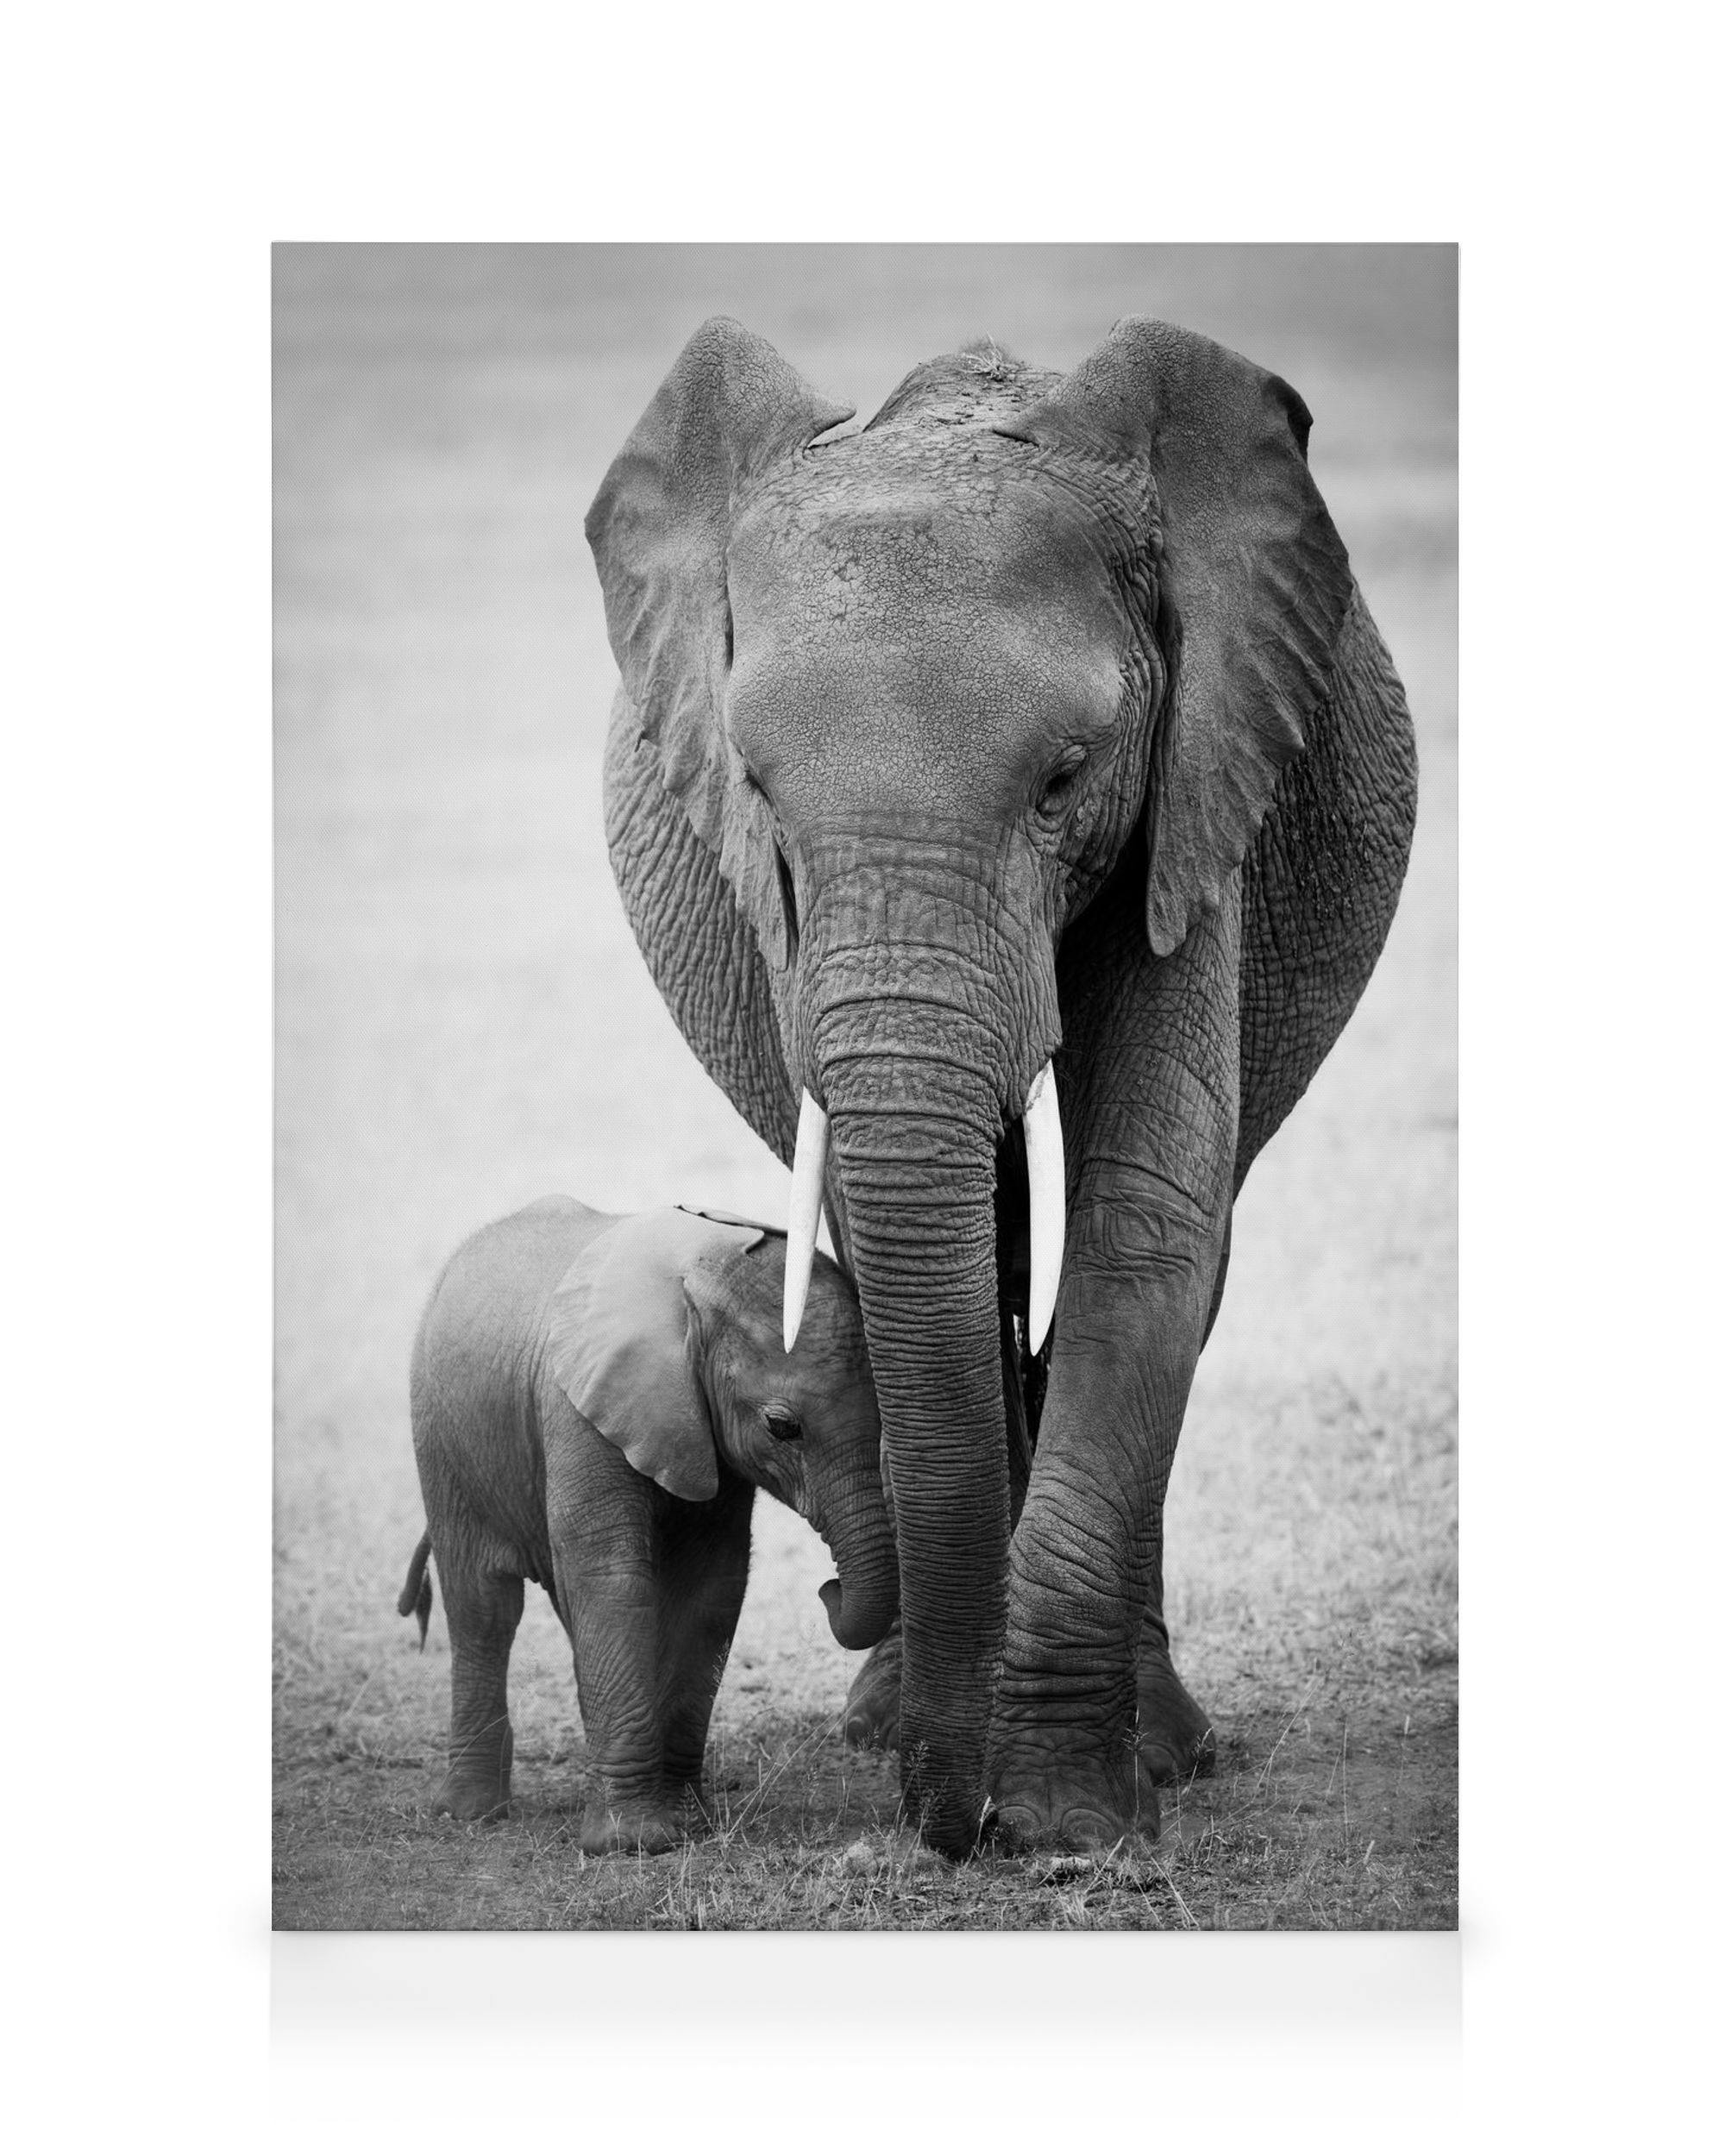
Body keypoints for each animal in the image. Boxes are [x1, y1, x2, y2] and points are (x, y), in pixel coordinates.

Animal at [398, 1198, 896, 1853]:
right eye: (782, 1427)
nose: (829, 1589)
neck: (699, 1279)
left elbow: (711, 1588)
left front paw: (688, 1823)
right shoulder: (580, 1409)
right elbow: (613, 1578)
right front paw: (632, 1844)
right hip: (443, 1444)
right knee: (484, 1606)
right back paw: (472, 1813)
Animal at [585, 315, 1418, 1858]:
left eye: (1064, 781)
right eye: (756, 792)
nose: (946, 1821)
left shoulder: (1197, 790)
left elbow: (1145, 1222)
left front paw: (1066, 1820)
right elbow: (923, 1243)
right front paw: (980, 1781)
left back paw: (1162, 1748)